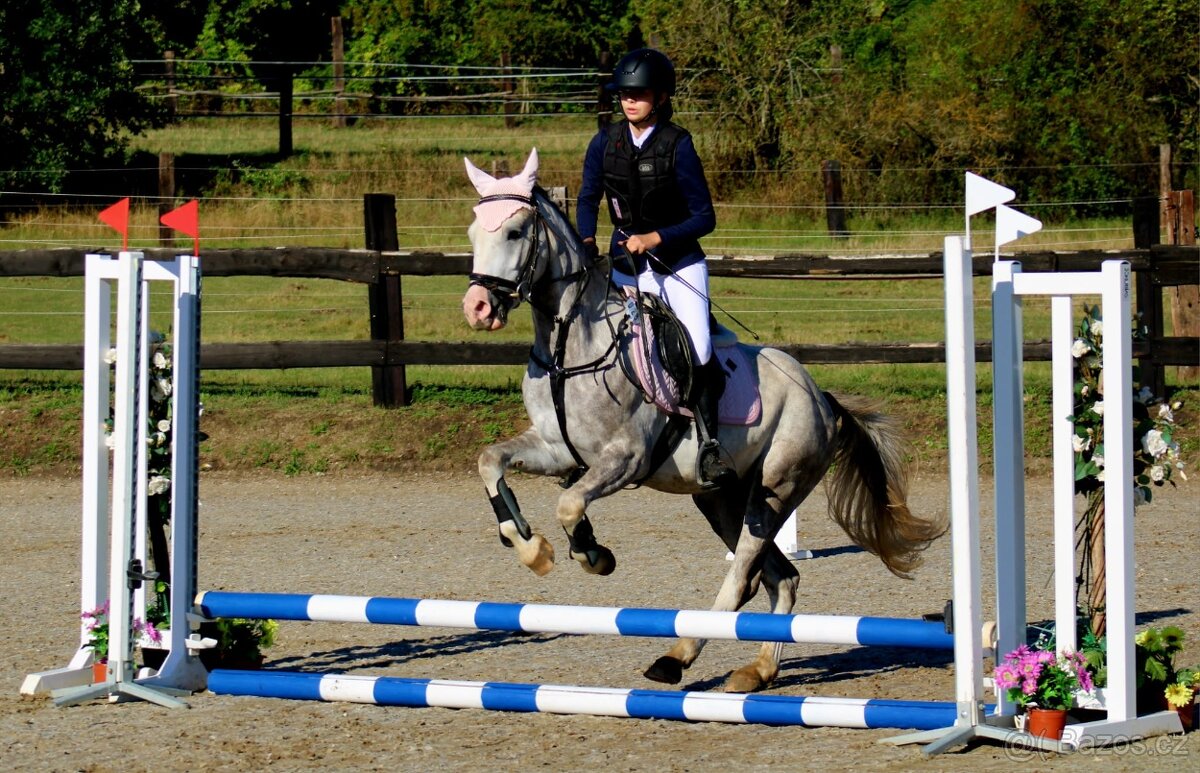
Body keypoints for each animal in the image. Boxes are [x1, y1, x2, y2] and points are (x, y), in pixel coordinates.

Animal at [460, 149, 945, 693]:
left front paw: (592, 554)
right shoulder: (557, 449)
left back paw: (678, 656)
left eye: (515, 232)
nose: (478, 308)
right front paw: (529, 546)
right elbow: (490, 462)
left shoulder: (625, 459)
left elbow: (569, 504)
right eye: (473, 231)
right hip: (721, 501)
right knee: (781, 578)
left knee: (743, 578)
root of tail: (821, 398)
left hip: (774, 491)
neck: (572, 346)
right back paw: (755, 669)